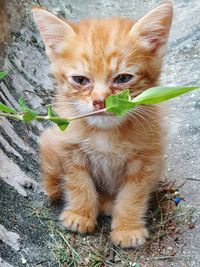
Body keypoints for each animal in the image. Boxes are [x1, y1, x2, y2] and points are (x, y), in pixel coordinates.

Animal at [32, 2, 172, 249]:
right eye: (80, 80)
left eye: (123, 78)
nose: (99, 101)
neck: (105, 133)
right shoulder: (71, 150)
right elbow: (79, 184)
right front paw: (80, 214)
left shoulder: (146, 159)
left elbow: (132, 195)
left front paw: (127, 228)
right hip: (50, 140)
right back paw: (55, 189)